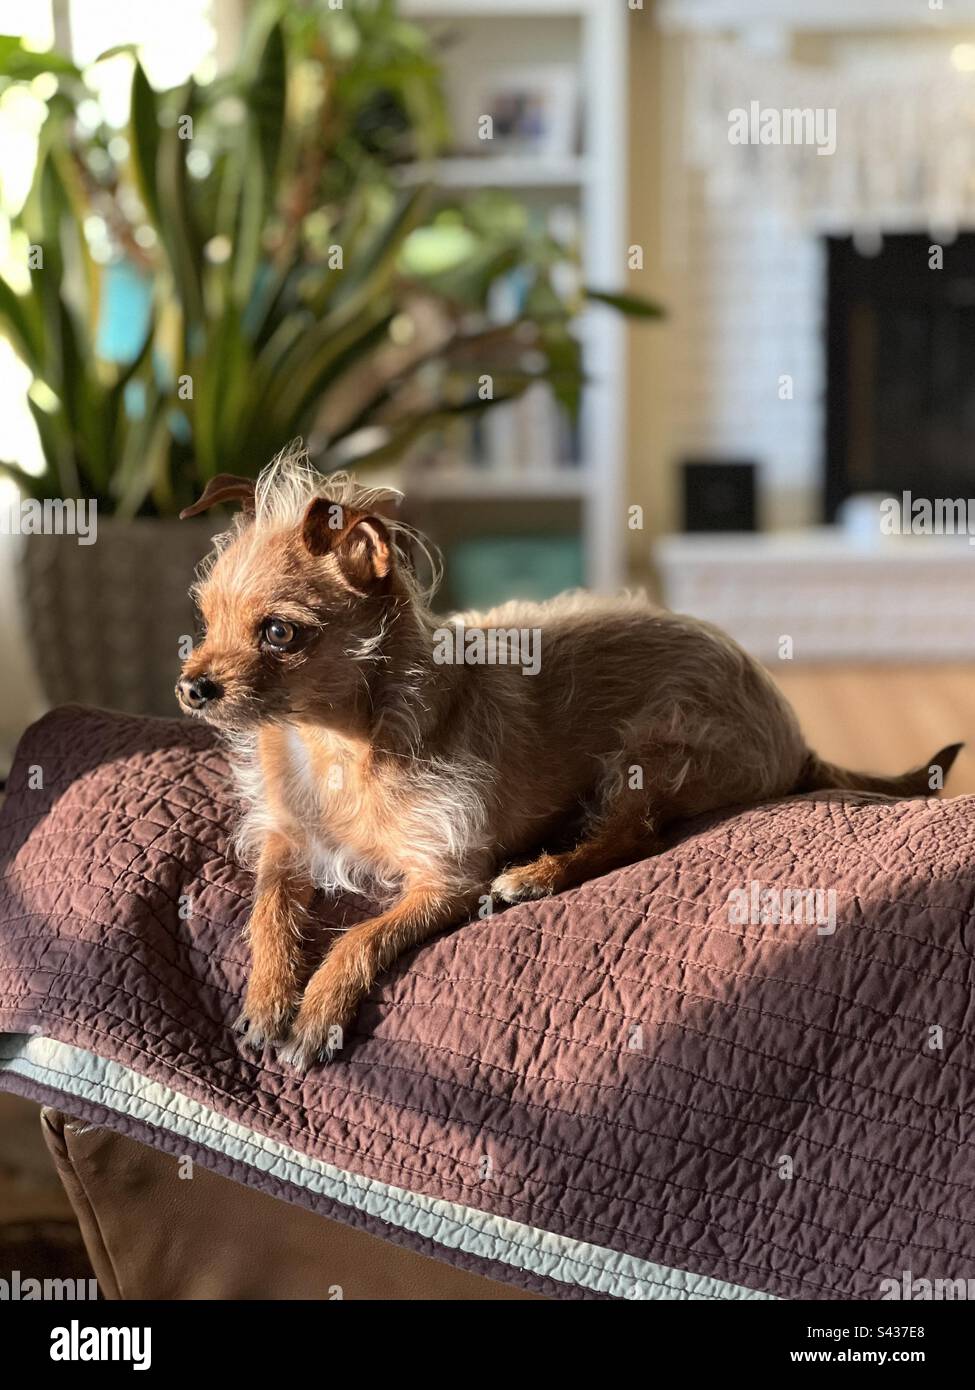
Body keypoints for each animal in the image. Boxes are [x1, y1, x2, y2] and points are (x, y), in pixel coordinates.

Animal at [176, 450, 956, 1067]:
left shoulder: (446, 880)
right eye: (204, 620)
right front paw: (269, 994)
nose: (192, 687)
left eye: (280, 633)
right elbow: (267, 907)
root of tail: (790, 726)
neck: (335, 743)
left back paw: (538, 875)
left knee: (631, 835)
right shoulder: (284, 840)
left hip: (652, 749)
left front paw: (318, 1011)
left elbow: (363, 934)